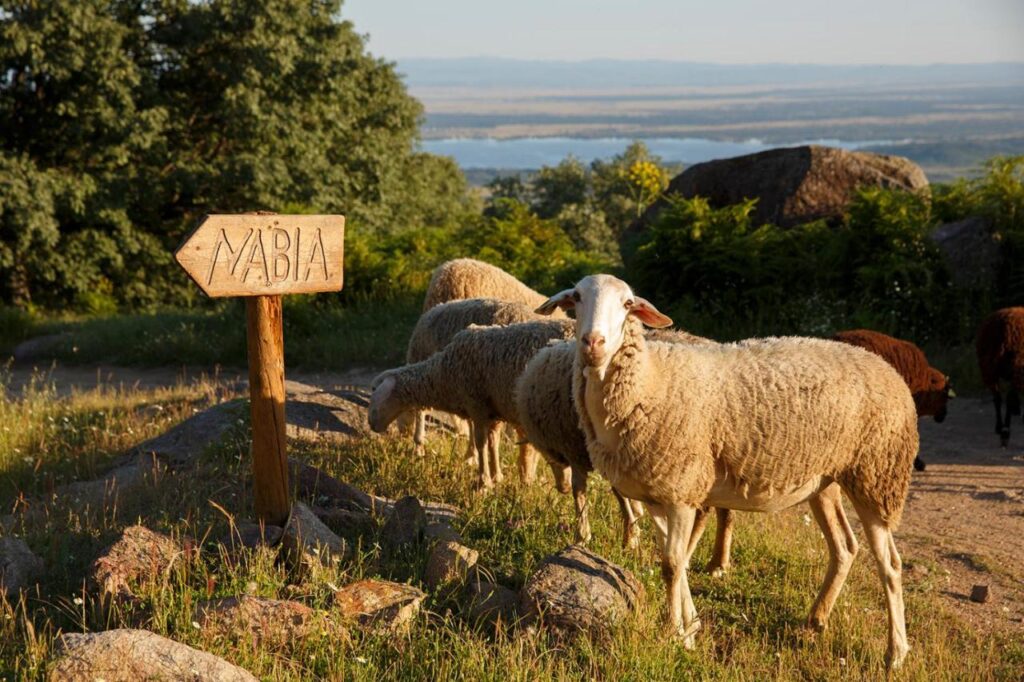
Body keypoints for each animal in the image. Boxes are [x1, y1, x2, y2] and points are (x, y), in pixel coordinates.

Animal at [369, 319, 576, 489]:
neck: (443, 373)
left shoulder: (477, 405)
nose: (372, 425)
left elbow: (481, 442)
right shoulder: (493, 411)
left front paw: (483, 482)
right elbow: (493, 442)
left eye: (375, 393)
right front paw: (496, 476)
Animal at [516, 339, 735, 570]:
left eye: (548, 458)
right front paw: (632, 532)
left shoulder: (577, 449)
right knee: (723, 510)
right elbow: (620, 495)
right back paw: (717, 562)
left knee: (704, 510)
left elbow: (583, 491)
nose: (562, 488)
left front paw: (586, 536)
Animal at [976, 307, 1024, 447]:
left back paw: (999, 427)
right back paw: (1005, 433)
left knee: (997, 398)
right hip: (1016, 366)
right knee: (1008, 398)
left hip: (988, 368)